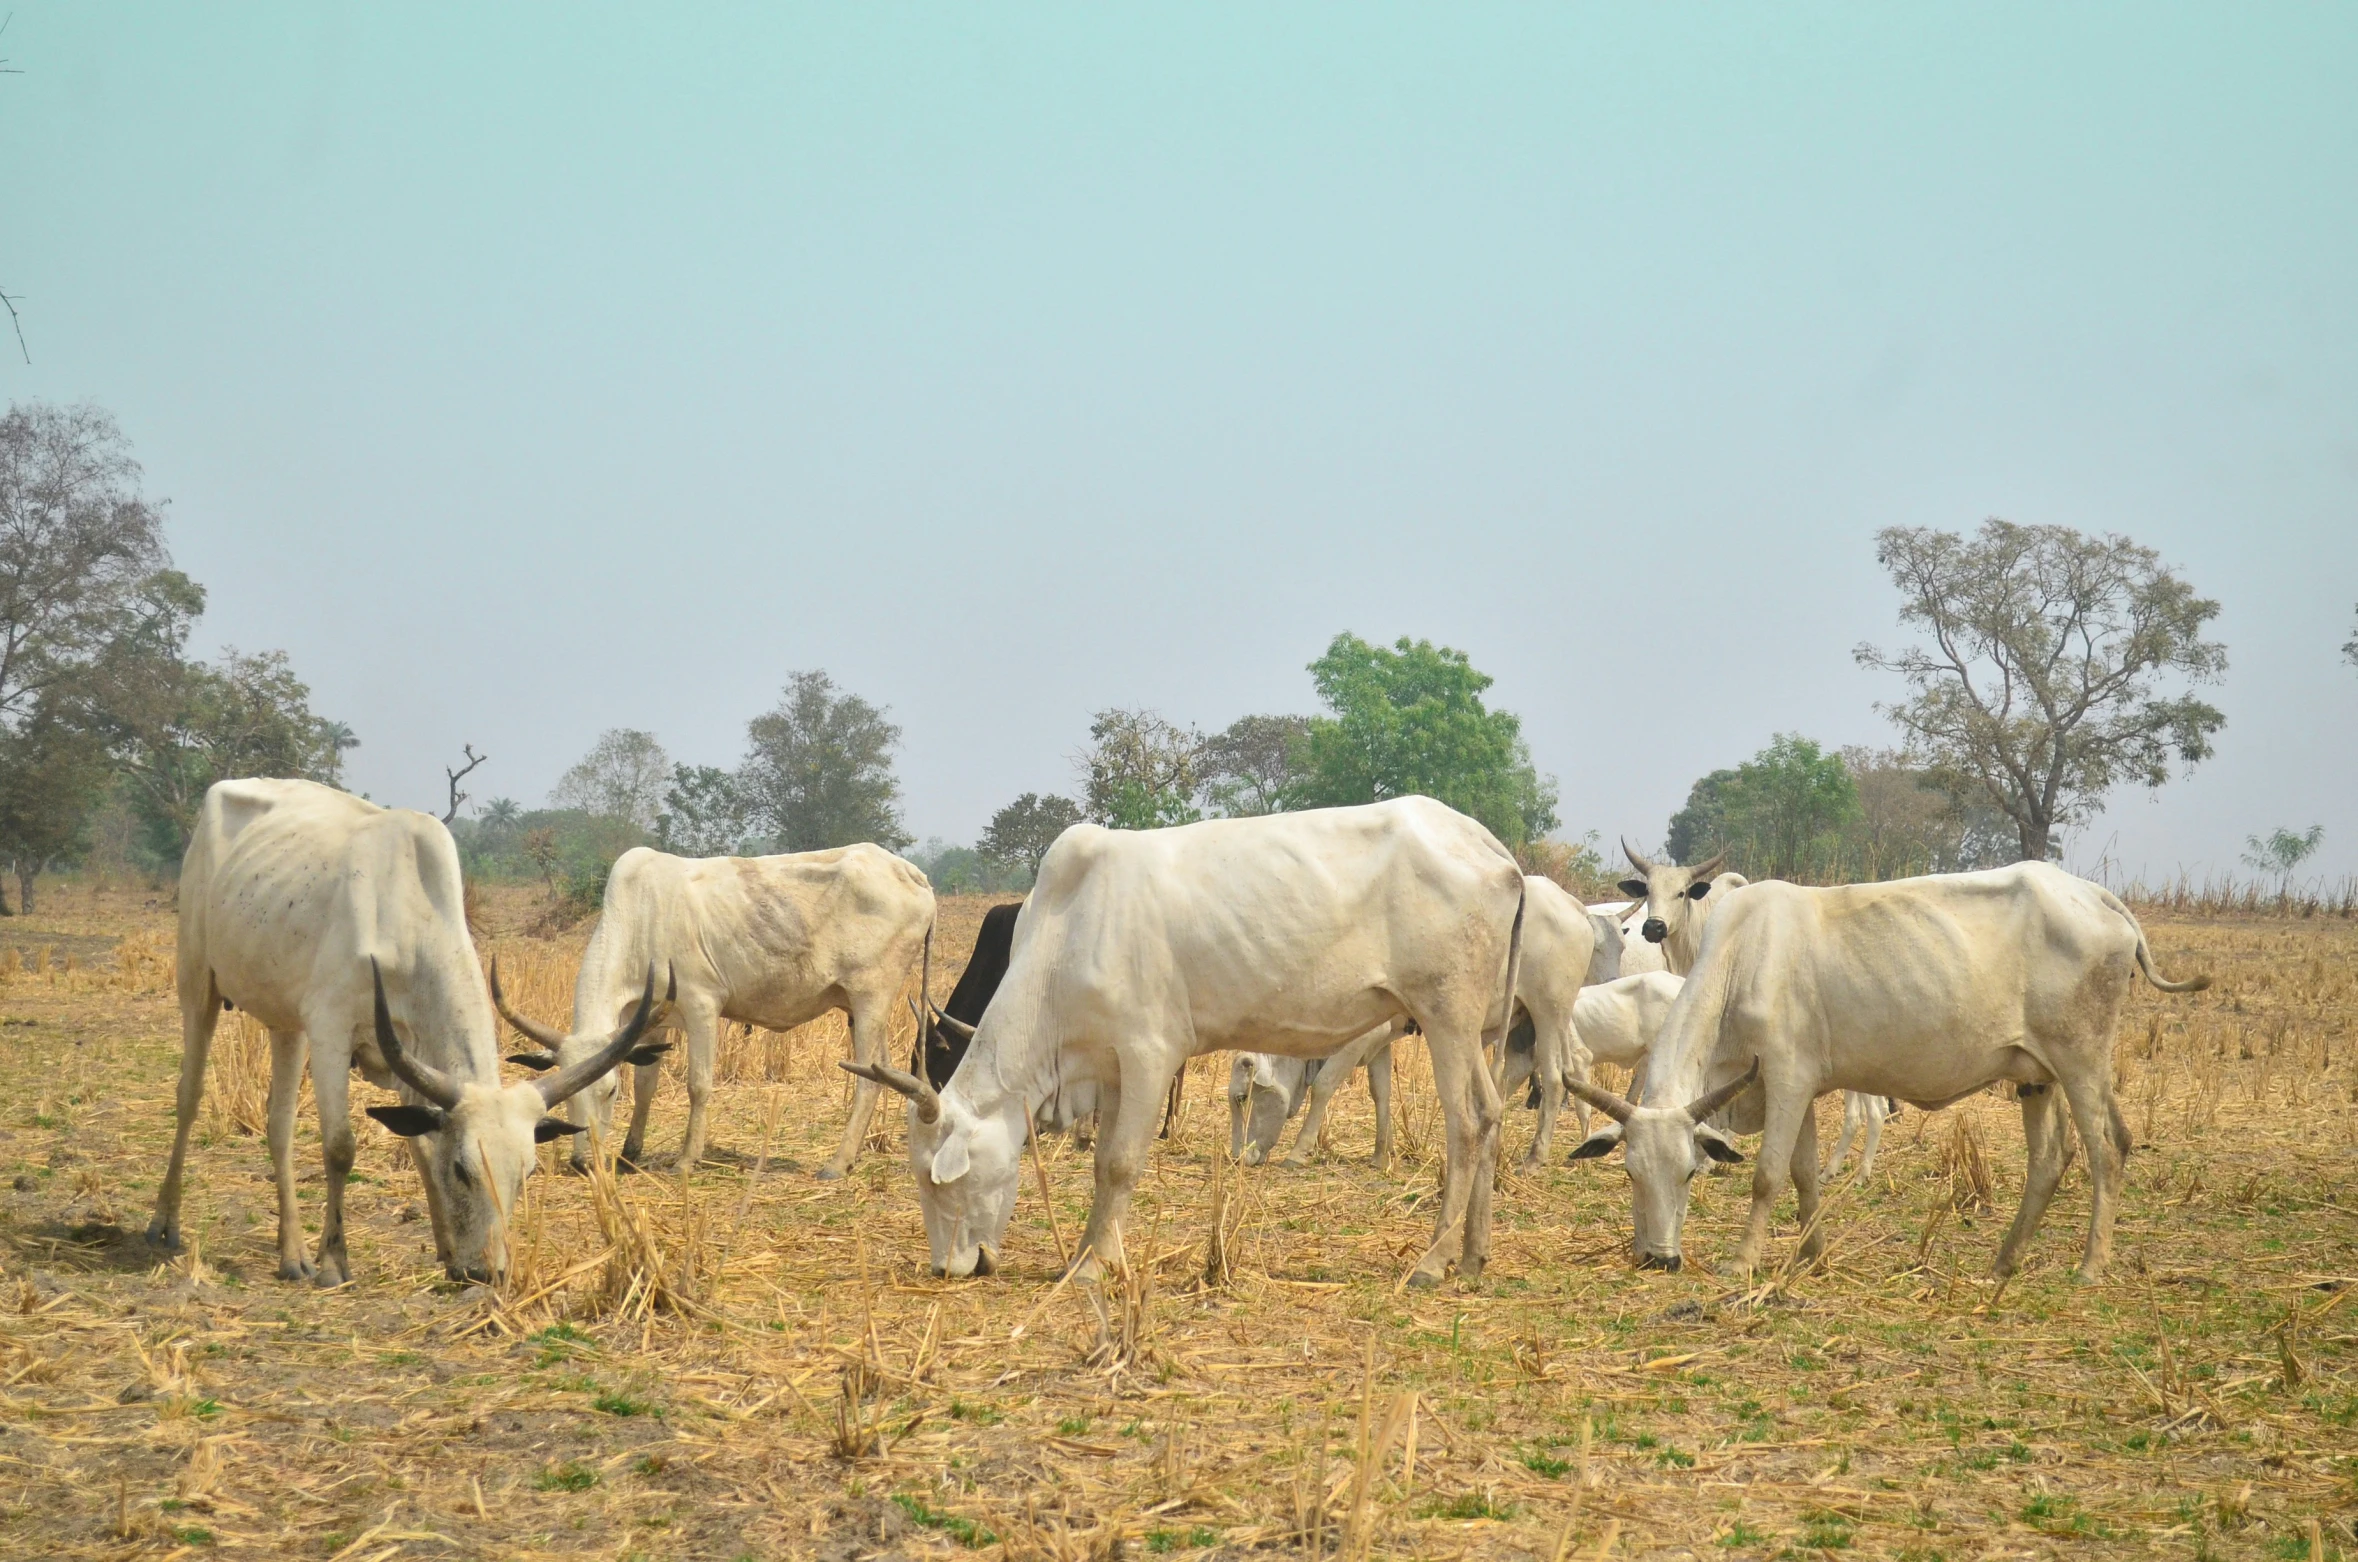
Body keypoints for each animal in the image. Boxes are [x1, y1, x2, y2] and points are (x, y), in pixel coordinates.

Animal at [145, 778, 664, 1283]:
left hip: (286, 1021)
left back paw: (291, 1252)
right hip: (197, 979)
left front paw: (446, 1249)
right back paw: (165, 1224)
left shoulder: (410, 1056)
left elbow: (420, 1145)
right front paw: (334, 1262)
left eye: (527, 1173)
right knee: (189, 1096)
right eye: (463, 1169)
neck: (406, 919)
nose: (490, 1272)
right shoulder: (331, 1031)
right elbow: (340, 1146)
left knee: (279, 1124)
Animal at [497, 849, 929, 1179]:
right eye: (567, 1095)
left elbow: (698, 1086)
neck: (641, 919)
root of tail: (910, 871)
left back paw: (837, 1163)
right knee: (882, 1070)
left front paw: (686, 1160)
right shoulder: (647, 1019)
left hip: (871, 998)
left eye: (610, 1092)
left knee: (867, 1081)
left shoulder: (701, 1005)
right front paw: (629, 1154)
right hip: (864, 1009)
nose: (584, 1163)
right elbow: (646, 1084)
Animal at [848, 802, 1527, 1293]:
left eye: (938, 1181)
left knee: (1467, 1123)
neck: (1067, 932)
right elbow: (1101, 1163)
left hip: (1447, 1014)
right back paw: (1474, 1256)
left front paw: (1093, 1265)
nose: (946, 1268)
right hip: (1466, 1028)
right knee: (1491, 1111)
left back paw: (1433, 1261)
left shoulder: (1150, 1054)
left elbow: (1121, 1163)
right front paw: (1092, 1254)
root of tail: (1492, 849)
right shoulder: (1111, 1068)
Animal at [1565, 868, 2207, 1283]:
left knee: (2108, 1148)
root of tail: (2097, 896)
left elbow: (1768, 1177)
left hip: (2083, 1060)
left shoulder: (1788, 1078)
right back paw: (2004, 1262)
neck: (1741, 960)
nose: (1659, 1258)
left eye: (1690, 1172)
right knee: (2051, 1159)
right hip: (2037, 1075)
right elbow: (1803, 1175)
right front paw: (1813, 1256)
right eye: (1629, 1173)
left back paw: (2091, 1265)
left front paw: (1743, 1260)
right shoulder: (1793, 1087)